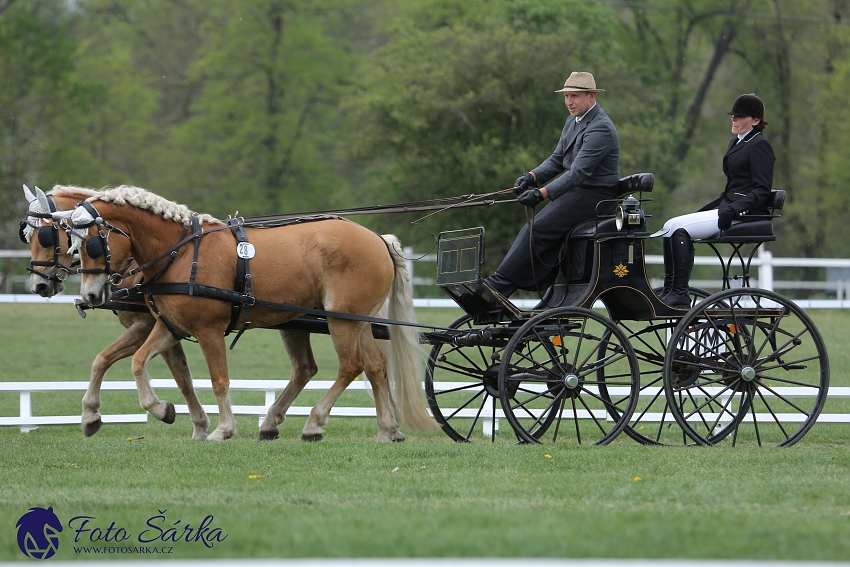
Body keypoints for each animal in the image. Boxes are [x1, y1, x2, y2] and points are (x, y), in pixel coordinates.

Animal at [21, 186, 210, 440]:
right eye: (26, 234)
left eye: (45, 235)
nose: (38, 286)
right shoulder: (168, 327)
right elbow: (183, 378)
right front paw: (198, 426)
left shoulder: (145, 326)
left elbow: (104, 358)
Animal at [58, 186, 438, 444]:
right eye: (72, 242)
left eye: (92, 243)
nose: (90, 295)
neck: (181, 253)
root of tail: (377, 238)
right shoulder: (170, 326)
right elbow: (137, 362)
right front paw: (160, 409)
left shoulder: (208, 330)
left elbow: (219, 380)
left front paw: (222, 429)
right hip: (356, 321)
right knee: (373, 366)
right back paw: (386, 430)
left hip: (341, 320)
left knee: (350, 366)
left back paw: (314, 423)